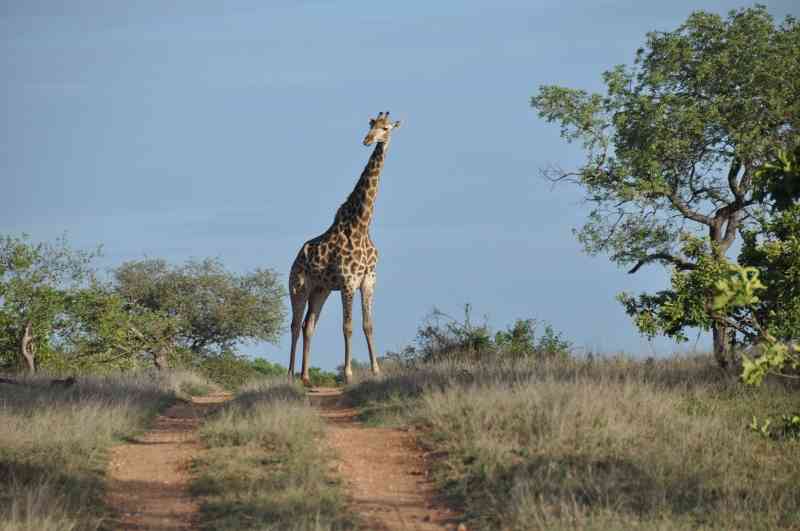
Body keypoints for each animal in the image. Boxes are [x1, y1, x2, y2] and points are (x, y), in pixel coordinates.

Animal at [288, 112, 400, 386]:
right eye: (371, 126)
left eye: (385, 128)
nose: (367, 140)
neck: (361, 225)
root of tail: (294, 260)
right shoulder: (348, 281)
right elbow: (347, 326)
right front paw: (349, 374)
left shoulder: (368, 280)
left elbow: (368, 324)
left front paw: (376, 371)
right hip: (298, 287)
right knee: (295, 324)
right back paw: (290, 375)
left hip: (321, 290)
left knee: (309, 325)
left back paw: (306, 377)